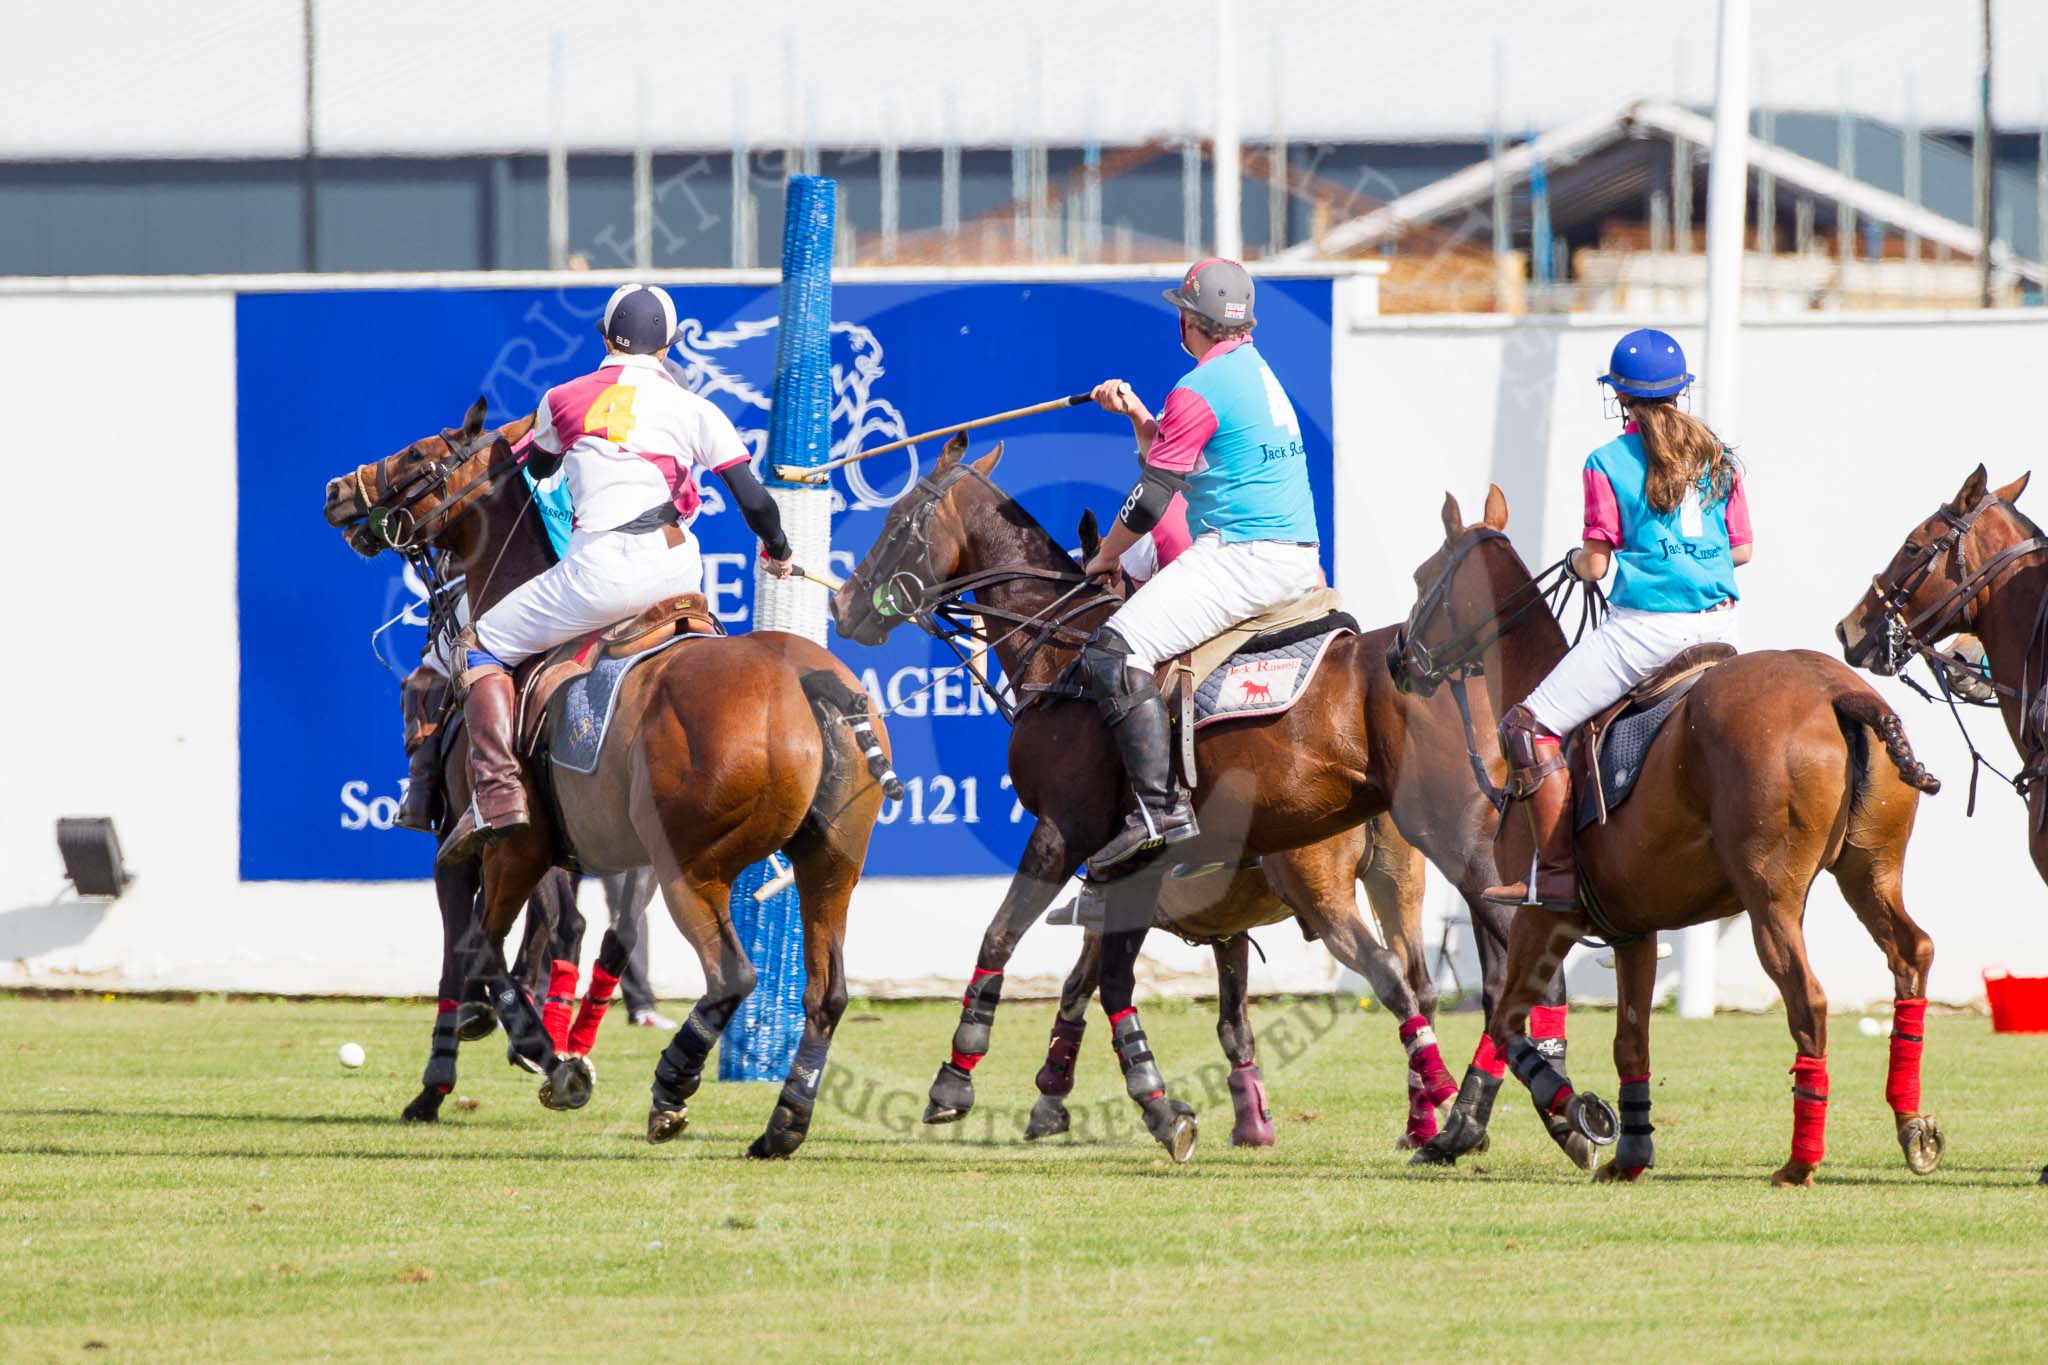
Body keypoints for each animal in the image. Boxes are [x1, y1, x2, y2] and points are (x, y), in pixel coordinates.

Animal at [317, 397, 888, 1162]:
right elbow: (533, 941)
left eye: (417, 455)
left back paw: (671, 1087)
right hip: (831, 859)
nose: (337, 490)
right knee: (826, 992)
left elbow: (476, 949)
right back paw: (781, 1125)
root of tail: (810, 678)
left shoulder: (497, 846)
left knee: (731, 973)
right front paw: (520, 1041)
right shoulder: (559, 853)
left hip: (692, 866)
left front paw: (526, 1062)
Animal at [831, 439, 1581, 1162]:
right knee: (1462, 976)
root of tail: (1471, 675)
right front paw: (1153, 1106)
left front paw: (956, 1078)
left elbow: (1006, 936)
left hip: (1428, 848)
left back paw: (1495, 1113)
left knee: (1483, 969)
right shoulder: (1136, 866)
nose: (843, 606)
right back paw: (1487, 1112)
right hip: (1412, 869)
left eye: (897, 521)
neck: (1061, 655)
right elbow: (1117, 983)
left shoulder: (1064, 829)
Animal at [1400, 489, 1941, 1186]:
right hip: (1870, 871)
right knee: (1911, 953)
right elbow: (1629, 1040)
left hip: (1771, 895)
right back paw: (1912, 1125)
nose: (1399, 658)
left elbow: (1506, 1018)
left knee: (1809, 1001)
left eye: (1423, 580)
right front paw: (1629, 1152)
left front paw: (1569, 1116)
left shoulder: (1541, 915)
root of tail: (1838, 691)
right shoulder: (1633, 928)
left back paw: (1800, 1161)